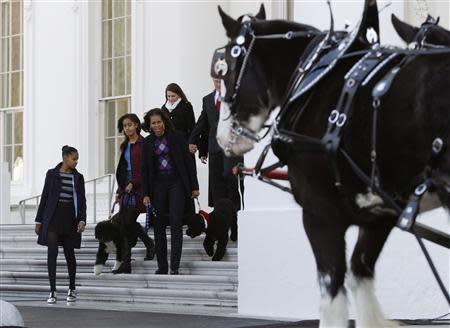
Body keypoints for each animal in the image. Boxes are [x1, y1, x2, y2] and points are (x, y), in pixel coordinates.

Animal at [214, 0, 450, 328]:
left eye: (226, 68)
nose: (223, 138)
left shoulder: (320, 215)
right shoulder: (379, 214)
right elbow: (360, 275)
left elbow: (333, 292)